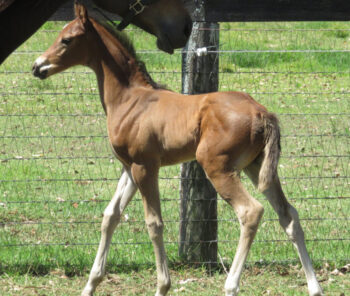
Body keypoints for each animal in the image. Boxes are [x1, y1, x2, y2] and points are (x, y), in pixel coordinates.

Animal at [32, 2, 322, 296]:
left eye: (66, 40)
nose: (37, 66)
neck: (130, 99)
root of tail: (262, 112)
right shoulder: (129, 168)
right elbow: (110, 215)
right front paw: (90, 284)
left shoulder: (145, 167)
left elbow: (154, 223)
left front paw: (163, 286)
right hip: (258, 167)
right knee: (288, 215)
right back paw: (314, 287)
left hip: (217, 167)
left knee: (251, 212)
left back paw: (231, 286)